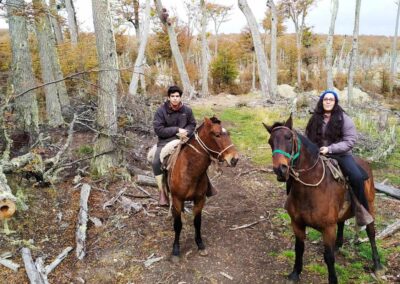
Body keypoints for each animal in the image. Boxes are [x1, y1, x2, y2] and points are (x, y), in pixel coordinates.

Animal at [168, 116, 239, 260]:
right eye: (217, 135)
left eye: (228, 134)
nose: (235, 159)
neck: (189, 172)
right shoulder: (177, 199)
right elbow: (177, 225)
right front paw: (176, 250)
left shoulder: (200, 199)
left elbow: (197, 222)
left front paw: (200, 244)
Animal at [264, 116, 382, 284]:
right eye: (270, 141)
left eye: (288, 138)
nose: (280, 169)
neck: (310, 190)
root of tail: (365, 164)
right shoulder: (297, 224)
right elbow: (299, 249)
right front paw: (295, 273)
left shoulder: (328, 228)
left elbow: (329, 257)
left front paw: (333, 280)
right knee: (341, 222)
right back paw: (339, 245)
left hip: (369, 206)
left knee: (371, 232)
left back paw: (377, 265)